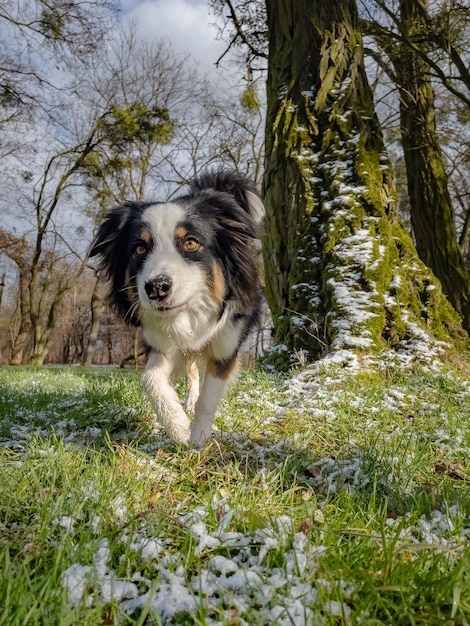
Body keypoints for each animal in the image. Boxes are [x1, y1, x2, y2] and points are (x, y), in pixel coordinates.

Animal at [90, 169, 262, 444]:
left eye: (191, 243)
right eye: (140, 248)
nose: (156, 288)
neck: (188, 315)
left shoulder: (227, 343)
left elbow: (209, 397)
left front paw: (198, 439)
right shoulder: (162, 342)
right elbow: (150, 378)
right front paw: (178, 425)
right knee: (192, 373)